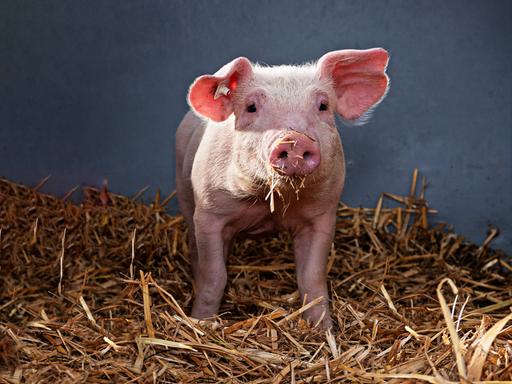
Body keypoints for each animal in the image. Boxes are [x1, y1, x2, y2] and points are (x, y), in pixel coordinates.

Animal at [175, 48, 388, 328]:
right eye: (251, 107)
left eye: (323, 106)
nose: (295, 139)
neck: (270, 203)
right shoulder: (210, 212)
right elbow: (214, 276)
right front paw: (202, 323)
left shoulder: (322, 215)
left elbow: (311, 278)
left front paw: (323, 329)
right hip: (184, 192)